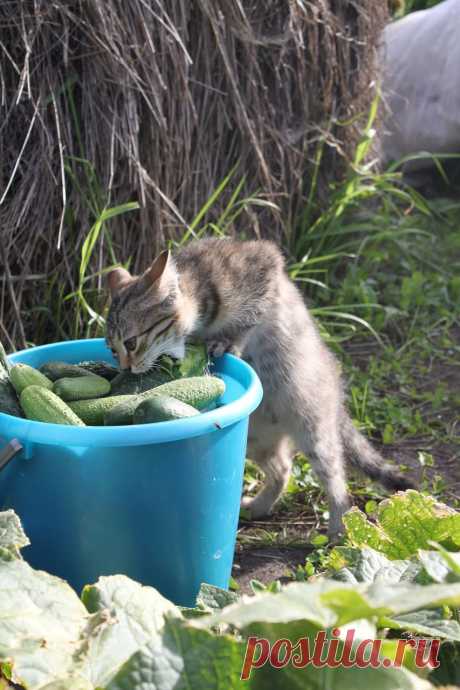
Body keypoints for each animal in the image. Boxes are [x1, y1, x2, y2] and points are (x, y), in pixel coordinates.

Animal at [106, 236, 416, 536]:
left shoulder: (267, 264)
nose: (125, 368)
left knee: (336, 479)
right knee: (283, 468)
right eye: (111, 349)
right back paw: (260, 506)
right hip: (254, 438)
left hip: (311, 424)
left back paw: (340, 527)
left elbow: (250, 318)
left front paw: (230, 341)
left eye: (131, 343)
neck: (200, 285)